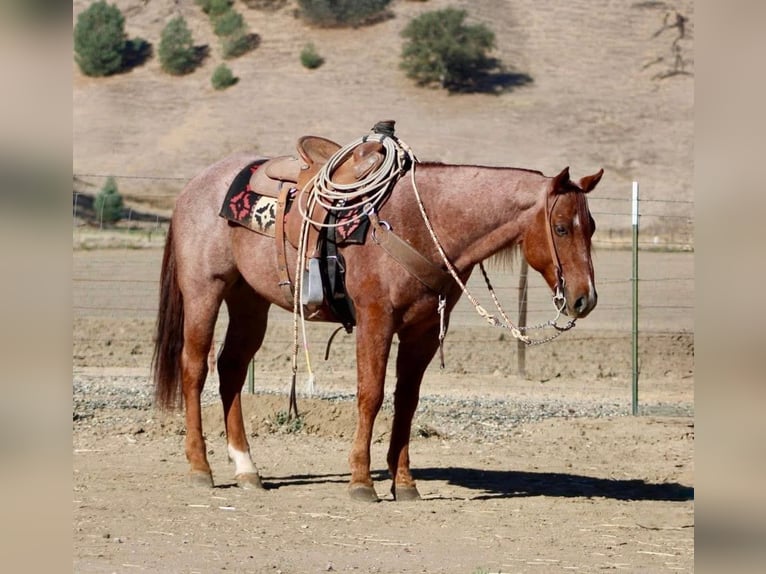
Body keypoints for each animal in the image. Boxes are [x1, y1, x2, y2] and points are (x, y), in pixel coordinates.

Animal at [152, 135, 603, 502]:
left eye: (592, 227)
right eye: (561, 227)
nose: (585, 299)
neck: (421, 221)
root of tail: (194, 186)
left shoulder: (423, 331)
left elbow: (407, 401)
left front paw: (403, 483)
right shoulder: (375, 320)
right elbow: (370, 395)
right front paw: (361, 481)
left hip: (249, 300)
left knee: (231, 368)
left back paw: (247, 469)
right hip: (205, 291)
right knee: (195, 367)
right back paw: (200, 467)